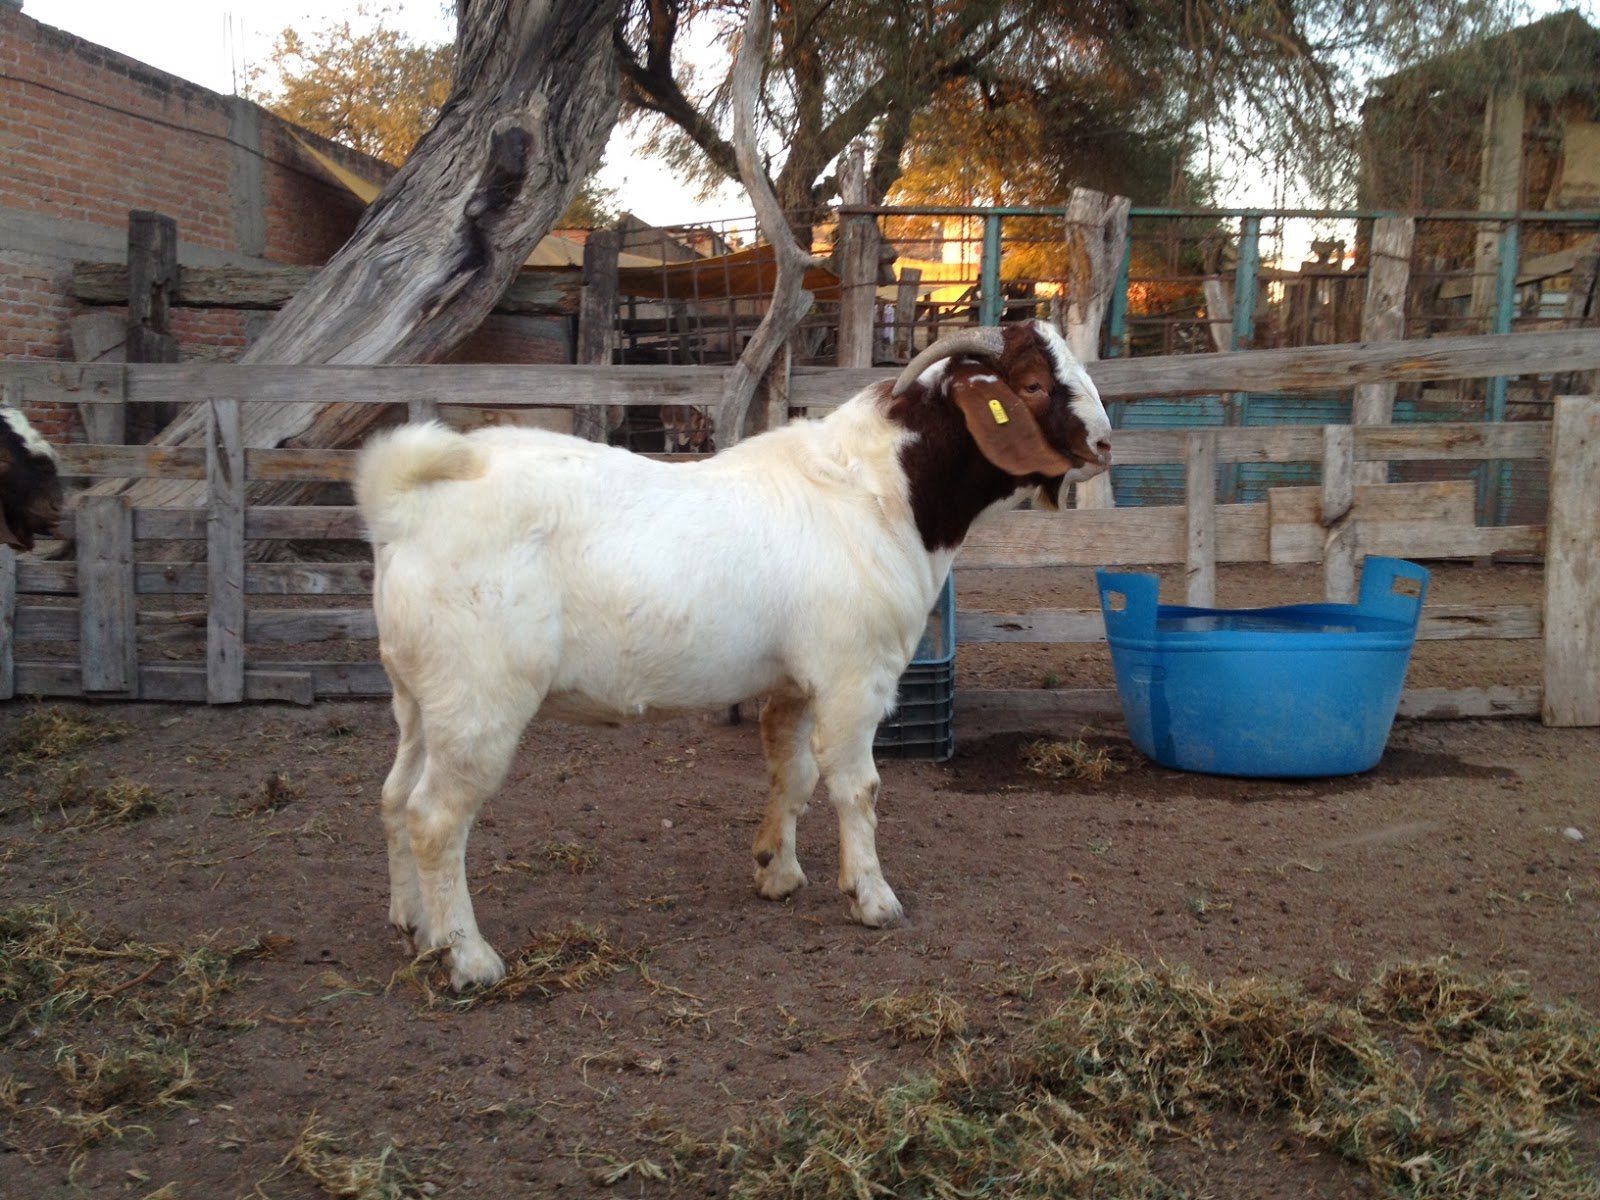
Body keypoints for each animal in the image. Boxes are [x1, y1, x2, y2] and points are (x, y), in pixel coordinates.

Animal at [355, 319, 1112, 989]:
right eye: (1034, 384)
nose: (1105, 443)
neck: (878, 493)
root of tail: (406, 508)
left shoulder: (797, 683)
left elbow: (792, 774)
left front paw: (777, 871)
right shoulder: (853, 676)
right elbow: (857, 787)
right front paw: (873, 899)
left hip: (419, 695)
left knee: (393, 796)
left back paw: (413, 926)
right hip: (480, 698)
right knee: (435, 817)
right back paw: (468, 958)